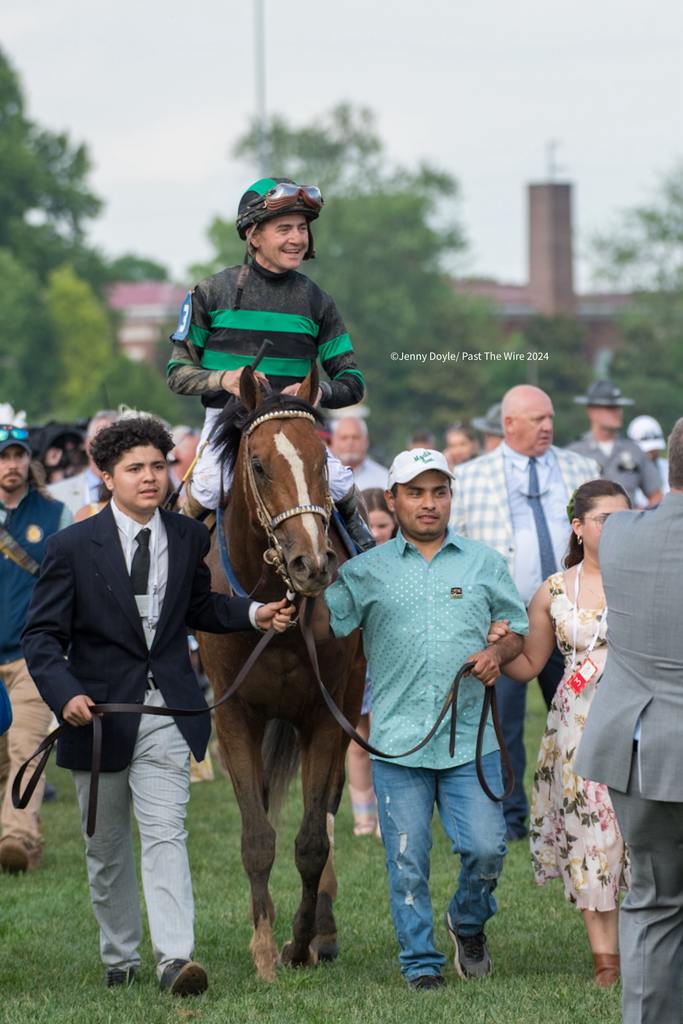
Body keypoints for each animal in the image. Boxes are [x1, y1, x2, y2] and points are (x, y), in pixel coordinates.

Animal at [197, 364, 366, 978]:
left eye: (321, 463)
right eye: (259, 465)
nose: (311, 563)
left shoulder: (324, 714)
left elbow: (313, 839)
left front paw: (301, 941)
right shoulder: (234, 717)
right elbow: (256, 837)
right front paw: (266, 950)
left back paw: (324, 930)